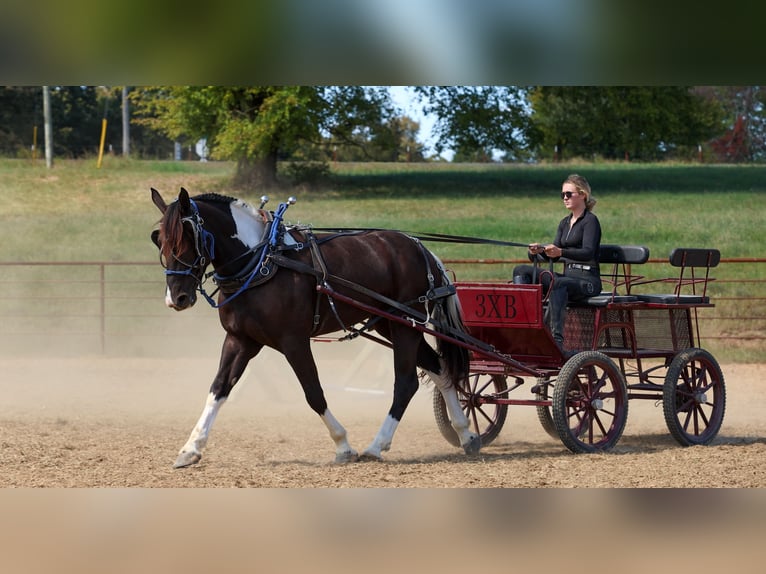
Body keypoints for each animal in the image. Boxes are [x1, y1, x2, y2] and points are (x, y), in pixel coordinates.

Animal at [150, 187, 481, 467]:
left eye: (187, 237)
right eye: (160, 240)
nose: (176, 298)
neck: (262, 262)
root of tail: (420, 248)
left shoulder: (294, 341)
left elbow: (313, 392)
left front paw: (343, 445)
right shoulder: (240, 340)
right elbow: (218, 388)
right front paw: (191, 448)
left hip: (406, 326)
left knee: (407, 382)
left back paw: (376, 445)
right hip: (391, 323)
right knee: (439, 367)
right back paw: (466, 434)